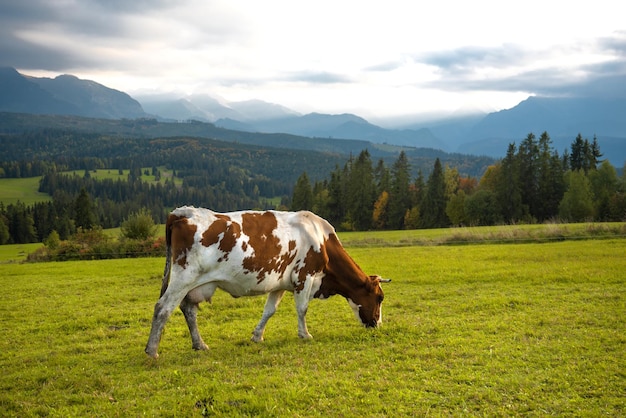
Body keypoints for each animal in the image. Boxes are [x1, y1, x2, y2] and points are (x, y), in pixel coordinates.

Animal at [146, 207, 390, 358]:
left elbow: (269, 311)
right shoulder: (305, 276)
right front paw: (305, 335)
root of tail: (182, 212)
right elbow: (302, 309)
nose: (377, 325)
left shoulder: (280, 284)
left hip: (195, 284)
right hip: (184, 276)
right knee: (163, 308)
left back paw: (199, 344)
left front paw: (257, 336)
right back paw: (152, 350)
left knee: (188, 309)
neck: (321, 238)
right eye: (379, 297)